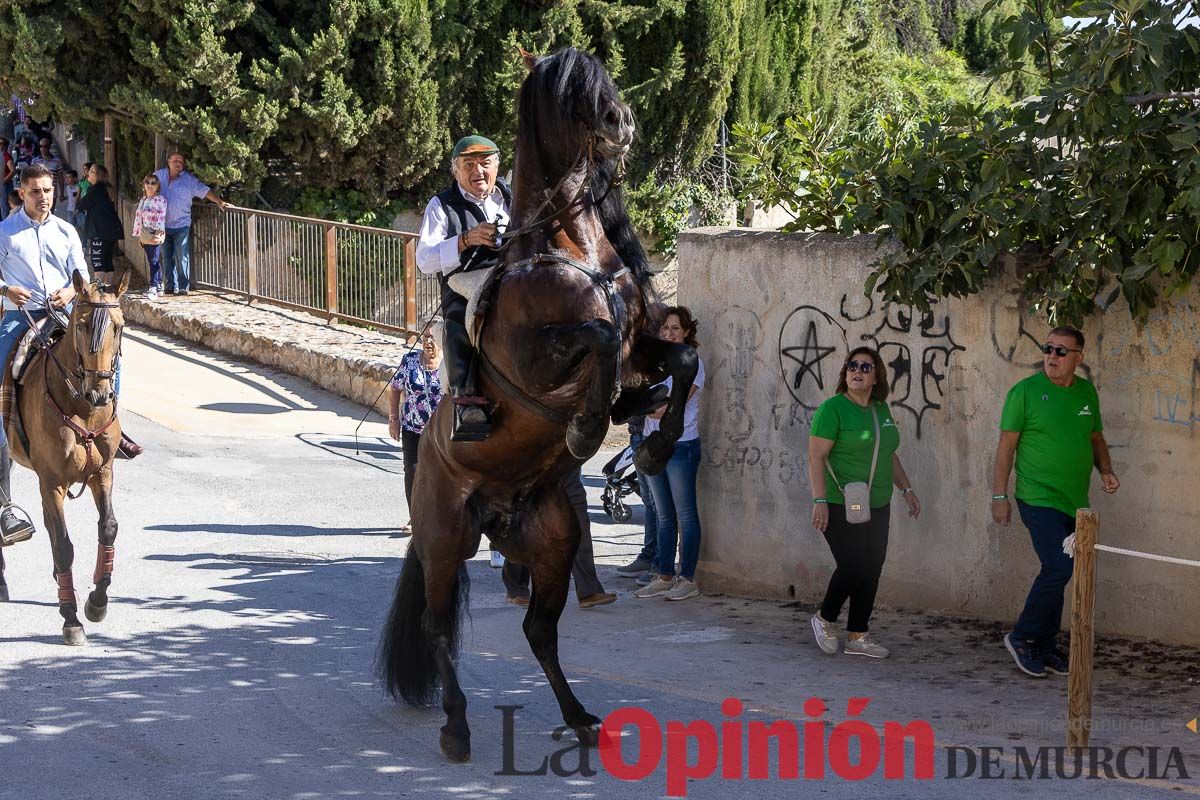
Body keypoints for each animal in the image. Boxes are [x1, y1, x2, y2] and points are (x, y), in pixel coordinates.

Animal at [0, 272, 126, 647]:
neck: (82, 407)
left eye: (119, 327)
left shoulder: (103, 472)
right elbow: (63, 545)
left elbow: (108, 529)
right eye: (81, 326)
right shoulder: (52, 482)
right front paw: (71, 618)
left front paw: (96, 602)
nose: (100, 393)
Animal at [379, 48, 700, 762]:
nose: (620, 124)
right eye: (568, 90)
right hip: (445, 537)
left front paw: (655, 441)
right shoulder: (545, 359)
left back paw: (580, 717)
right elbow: (597, 337)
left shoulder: (643, 345)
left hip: (552, 541)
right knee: (437, 625)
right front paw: (588, 427)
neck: (564, 243)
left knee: (539, 630)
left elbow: (682, 361)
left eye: (602, 75)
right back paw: (457, 726)